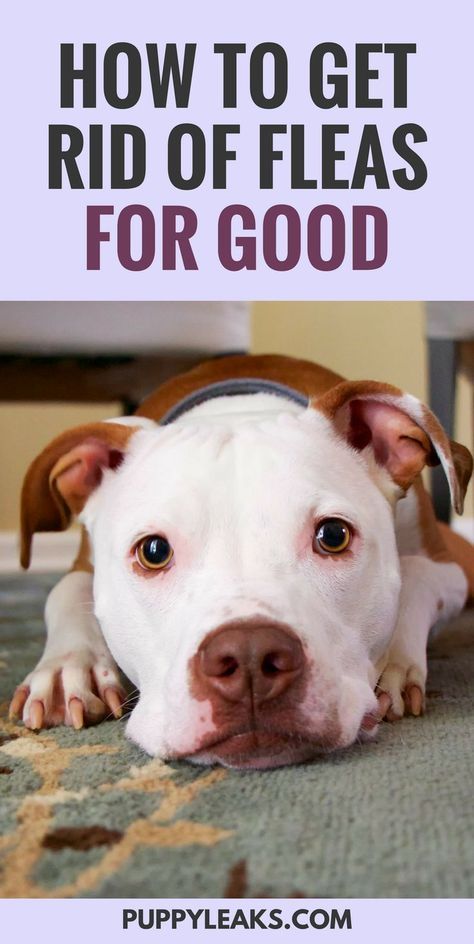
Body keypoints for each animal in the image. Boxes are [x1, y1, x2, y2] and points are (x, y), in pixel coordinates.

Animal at [9, 358, 474, 772]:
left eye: (333, 535)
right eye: (153, 551)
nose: (250, 657)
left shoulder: (452, 569)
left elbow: (416, 577)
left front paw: (394, 662)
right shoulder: (82, 566)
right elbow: (63, 592)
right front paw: (68, 669)